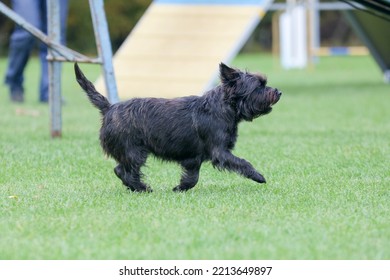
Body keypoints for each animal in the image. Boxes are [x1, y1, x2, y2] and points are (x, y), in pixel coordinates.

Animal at [74, 62, 280, 191]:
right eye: (259, 86)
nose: (278, 92)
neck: (224, 107)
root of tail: (109, 108)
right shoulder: (219, 152)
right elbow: (242, 162)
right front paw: (258, 176)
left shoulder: (194, 158)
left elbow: (192, 178)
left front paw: (180, 188)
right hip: (134, 151)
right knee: (127, 171)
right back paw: (142, 188)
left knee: (120, 170)